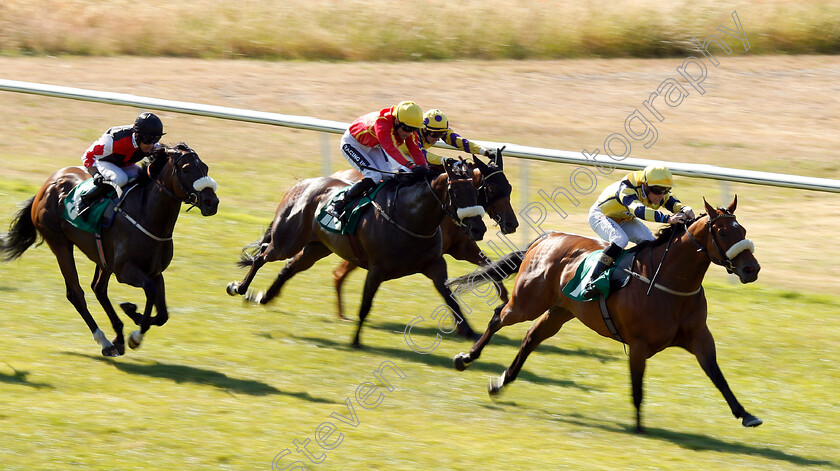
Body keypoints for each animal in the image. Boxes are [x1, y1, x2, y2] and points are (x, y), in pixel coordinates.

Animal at [0, 144, 220, 358]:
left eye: (206, 167)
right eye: (186, 169)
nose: (212, 202)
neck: (146, 216)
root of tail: (46, 186)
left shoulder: (155, 271)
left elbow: (163, 313)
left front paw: (134, 317)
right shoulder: (125, 271)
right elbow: (150, 291)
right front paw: (135, 330)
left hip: (102, 258)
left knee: (98, 288)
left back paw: (118, 337)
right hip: (60, 245)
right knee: (76, 294)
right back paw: (105, 341)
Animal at [226, 159, 488, 346]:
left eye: (477, 192)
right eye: (457, 194)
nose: (479, 229)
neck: (410, 218)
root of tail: (301, 184)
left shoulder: (434, 264)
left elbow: (451, 299)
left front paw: (470, 332)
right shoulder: (377, 269)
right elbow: (365, 305)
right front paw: (355, 340)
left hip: (317, 247)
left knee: (289, 267)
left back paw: (264, 297)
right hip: (286, 241)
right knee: (261, 257)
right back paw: (239, 288)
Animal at [330, 155, 520, 320]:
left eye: (509, 187)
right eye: (492, 188)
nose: (512, 224)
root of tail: (336, 174)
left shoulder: (461, 247)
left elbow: (488, 264)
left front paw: (504, 298)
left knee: (340, 273)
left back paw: (341, 313)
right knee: (340, 273)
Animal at [450, 197, 764, 434]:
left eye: (742, 229)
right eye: (722, 233)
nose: (752, 269)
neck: (669, 282)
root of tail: (547, 237)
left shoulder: (699, 337)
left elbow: (717, 375)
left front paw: (746, 414)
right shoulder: (638, 344)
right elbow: (637, 386)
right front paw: (638, 427)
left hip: (560, 311)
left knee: (531, 338)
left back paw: (501, 382)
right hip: (527, 303)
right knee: (498, 317)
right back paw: (465, 358)